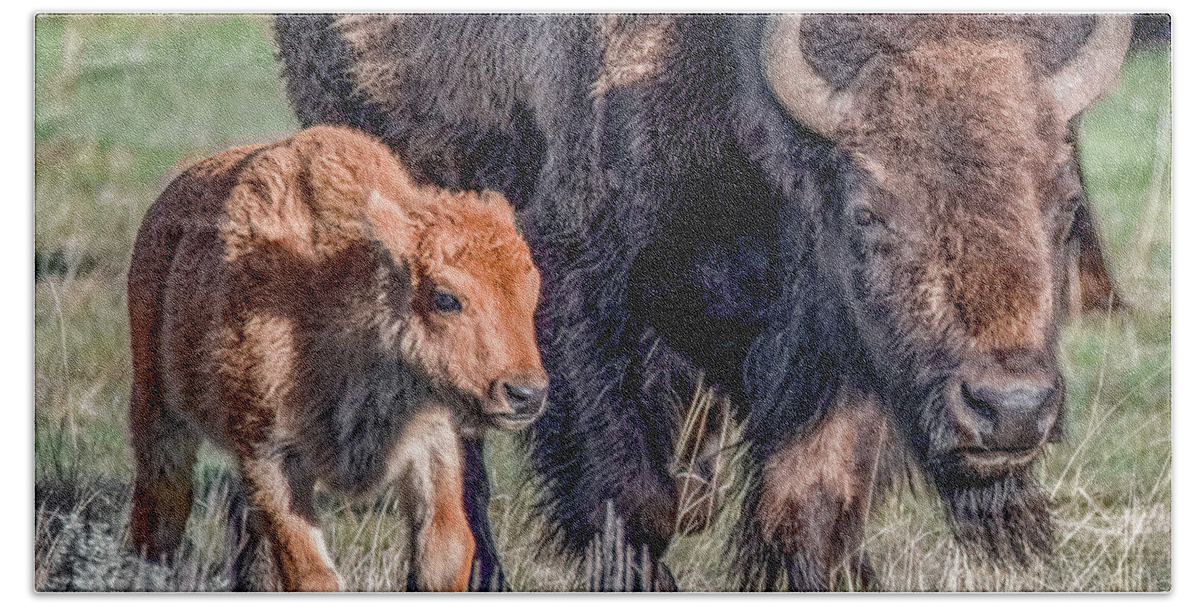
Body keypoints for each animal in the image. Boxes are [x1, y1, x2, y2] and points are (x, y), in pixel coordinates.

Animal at [126, 125, 549, 592]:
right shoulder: (268, 453)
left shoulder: (434, 442)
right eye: (445, 298)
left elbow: (444, 554)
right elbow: (311, 573)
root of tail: (164, 208)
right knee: (162, 506)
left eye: (532, 292)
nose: (525, 394)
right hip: (157, 409)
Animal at [274, 14, 1132, 590]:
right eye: (868, 213)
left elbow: (804, 507)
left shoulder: (836, 357)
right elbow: (633, 499)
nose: (1010, 408)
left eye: (1066, 206)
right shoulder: (579, 301)